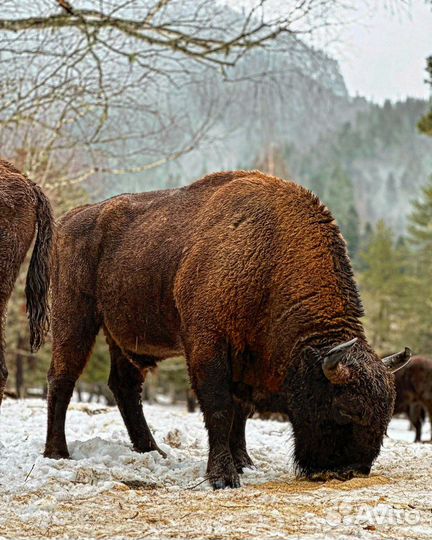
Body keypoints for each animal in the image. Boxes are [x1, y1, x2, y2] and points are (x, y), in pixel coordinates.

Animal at [44, 172, 412, 490]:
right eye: (346, 408)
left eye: (386, 415)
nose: (351, 470)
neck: (270, 254)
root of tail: (68, 221)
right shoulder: (209, 345)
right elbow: (220, 409)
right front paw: (223, 477)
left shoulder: (246, 360)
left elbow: (241, 413)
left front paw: (244, 462)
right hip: (74, 318)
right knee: (62, 379)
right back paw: (57, 453)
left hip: (124, 337)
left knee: (125, 387)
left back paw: (152, 450)